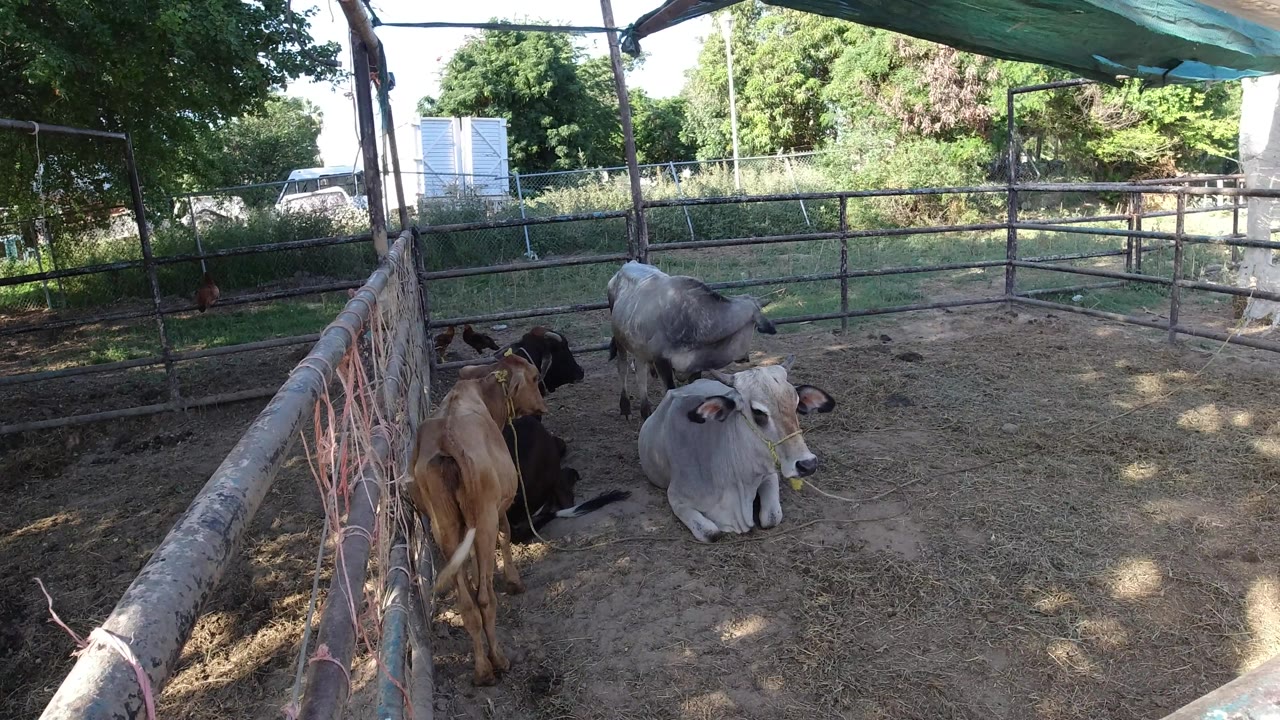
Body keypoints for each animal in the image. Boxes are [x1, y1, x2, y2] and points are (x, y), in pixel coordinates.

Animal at [407, 352, 547, 685]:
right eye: (535, 377)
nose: (542, 407)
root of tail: (447, 439)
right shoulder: (500, 507)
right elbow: (506, 536)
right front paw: (513, 580)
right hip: (483, 519)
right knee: (485, 599)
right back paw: (499, 660)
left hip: (446, 527)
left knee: (468, 604)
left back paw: (482, 669)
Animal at [607, 261, 776, 420]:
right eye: (754, 326)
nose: (745, 357)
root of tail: (630, 263)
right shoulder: (661, 361)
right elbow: (670, 389)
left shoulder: (696, 364)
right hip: (620, 341)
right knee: (623, 368)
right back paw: (626, 408)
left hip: (639, 348)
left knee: (641, 374)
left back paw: (645, 411)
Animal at [637, 356, 835, 543]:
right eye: (758, 412)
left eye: (796, 404)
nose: (808, 464)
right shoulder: (676, 498)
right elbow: (712, 533)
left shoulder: (769, 473)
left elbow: (772, 517)